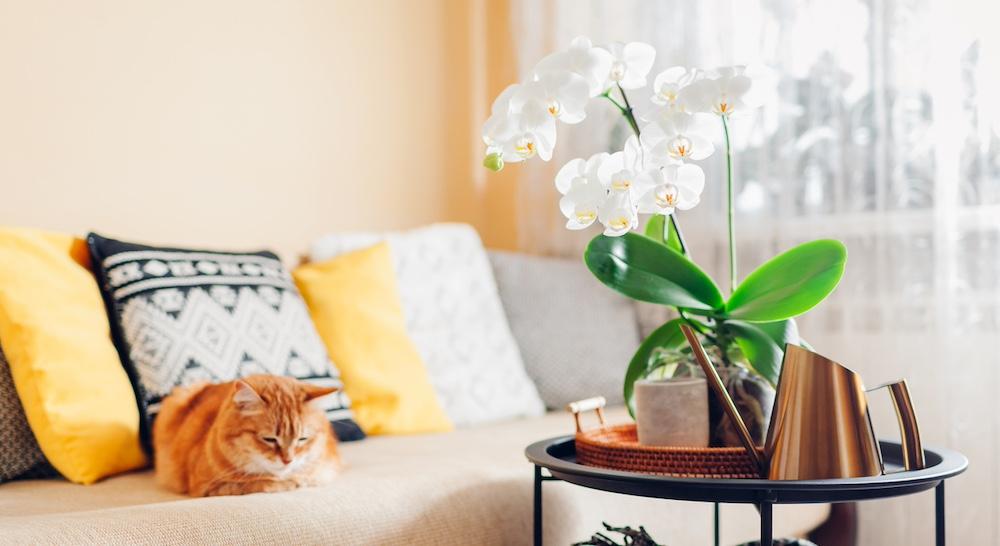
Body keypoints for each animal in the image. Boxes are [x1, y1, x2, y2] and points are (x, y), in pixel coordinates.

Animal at [154, 372, 342, 496]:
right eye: (269, 439)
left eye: (302, 438)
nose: (288, 460)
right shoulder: (207, 487)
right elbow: (259, 483)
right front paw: (289, 483)